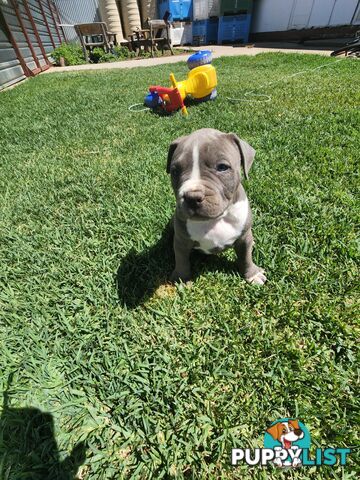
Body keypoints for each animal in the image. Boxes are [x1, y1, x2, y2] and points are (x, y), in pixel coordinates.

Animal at [167, 128, 266, 284]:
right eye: (175, 171)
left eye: (222, 167)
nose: (192, 197)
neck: (215, 220)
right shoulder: (181, 241)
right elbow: (181, 260)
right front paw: (181, 278)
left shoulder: (244, 238)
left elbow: (246, 257)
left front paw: (252, 274)